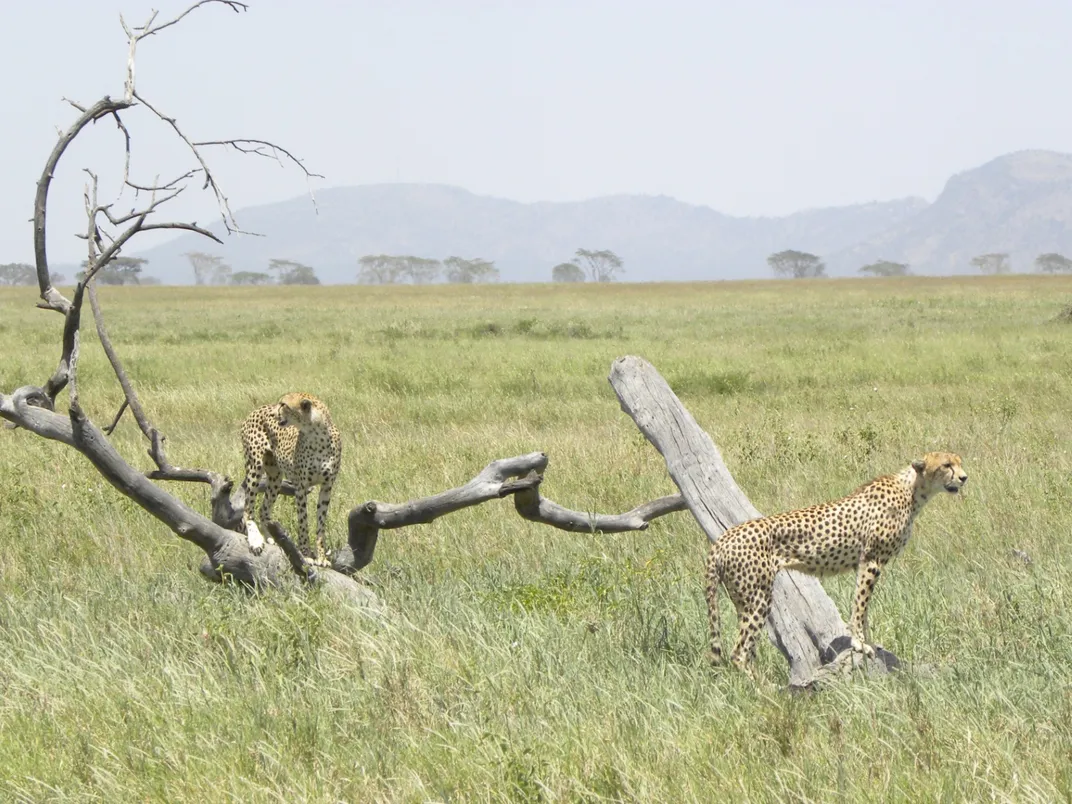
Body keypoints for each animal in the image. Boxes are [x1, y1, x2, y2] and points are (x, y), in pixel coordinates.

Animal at [240, 392, 340, 566]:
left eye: (284, 405)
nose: (273, 414)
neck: (317, 433)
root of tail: (257, 409)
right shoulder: (301, 487)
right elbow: (303, 522)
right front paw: (306, 554)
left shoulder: (327, 487)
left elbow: (321, 525)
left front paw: (321, 557)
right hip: (255, 467)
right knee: (248, 510)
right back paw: (255, 541)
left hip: (275, 477)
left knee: (263, 510)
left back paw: (269, 539)